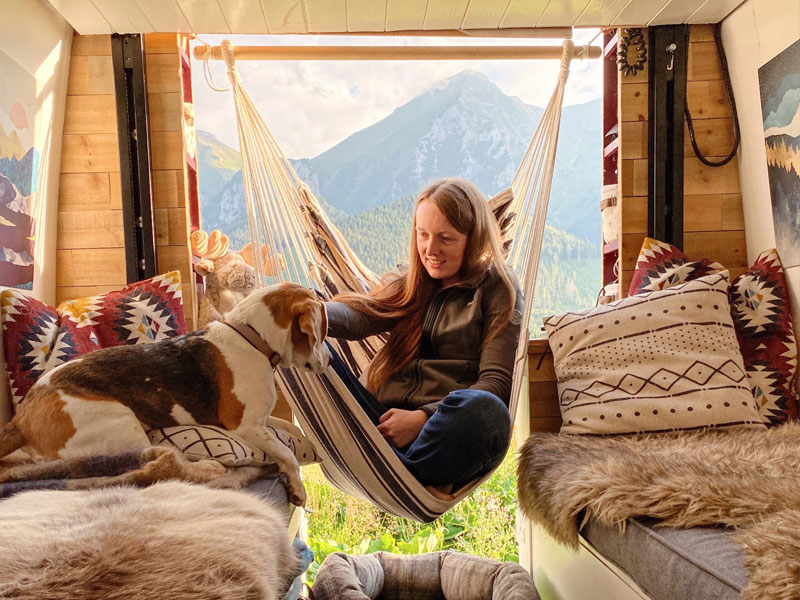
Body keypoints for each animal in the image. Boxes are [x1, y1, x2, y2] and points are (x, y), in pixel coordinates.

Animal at [0, 282, 332, 506]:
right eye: (323, 332)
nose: (329, 360)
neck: (252, 338)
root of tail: (23, 416)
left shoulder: (260, 420)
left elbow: (289, 430)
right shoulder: (246, 426)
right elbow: (287, 453)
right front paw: (297, 487)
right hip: (122, 424)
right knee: (163, 463)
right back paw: (207, 465)